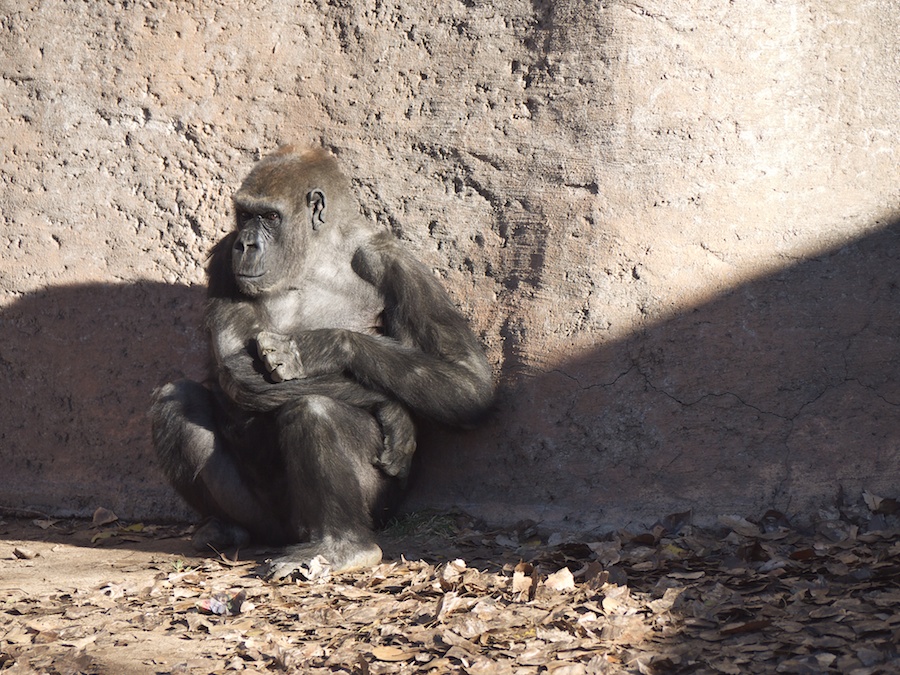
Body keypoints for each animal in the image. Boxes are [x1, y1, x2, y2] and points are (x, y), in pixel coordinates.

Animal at [150, 146, 494, 579]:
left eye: (270, 217)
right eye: (244, 215)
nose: (246, 244)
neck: (315, 258)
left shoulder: (394, 262)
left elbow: (468, 383)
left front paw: (321, 347)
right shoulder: (223, 259)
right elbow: (237, 372)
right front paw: (395, 412)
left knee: (313, 408)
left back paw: (343, 545)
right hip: (266, 519)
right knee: (176, 402)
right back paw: (229, 528)